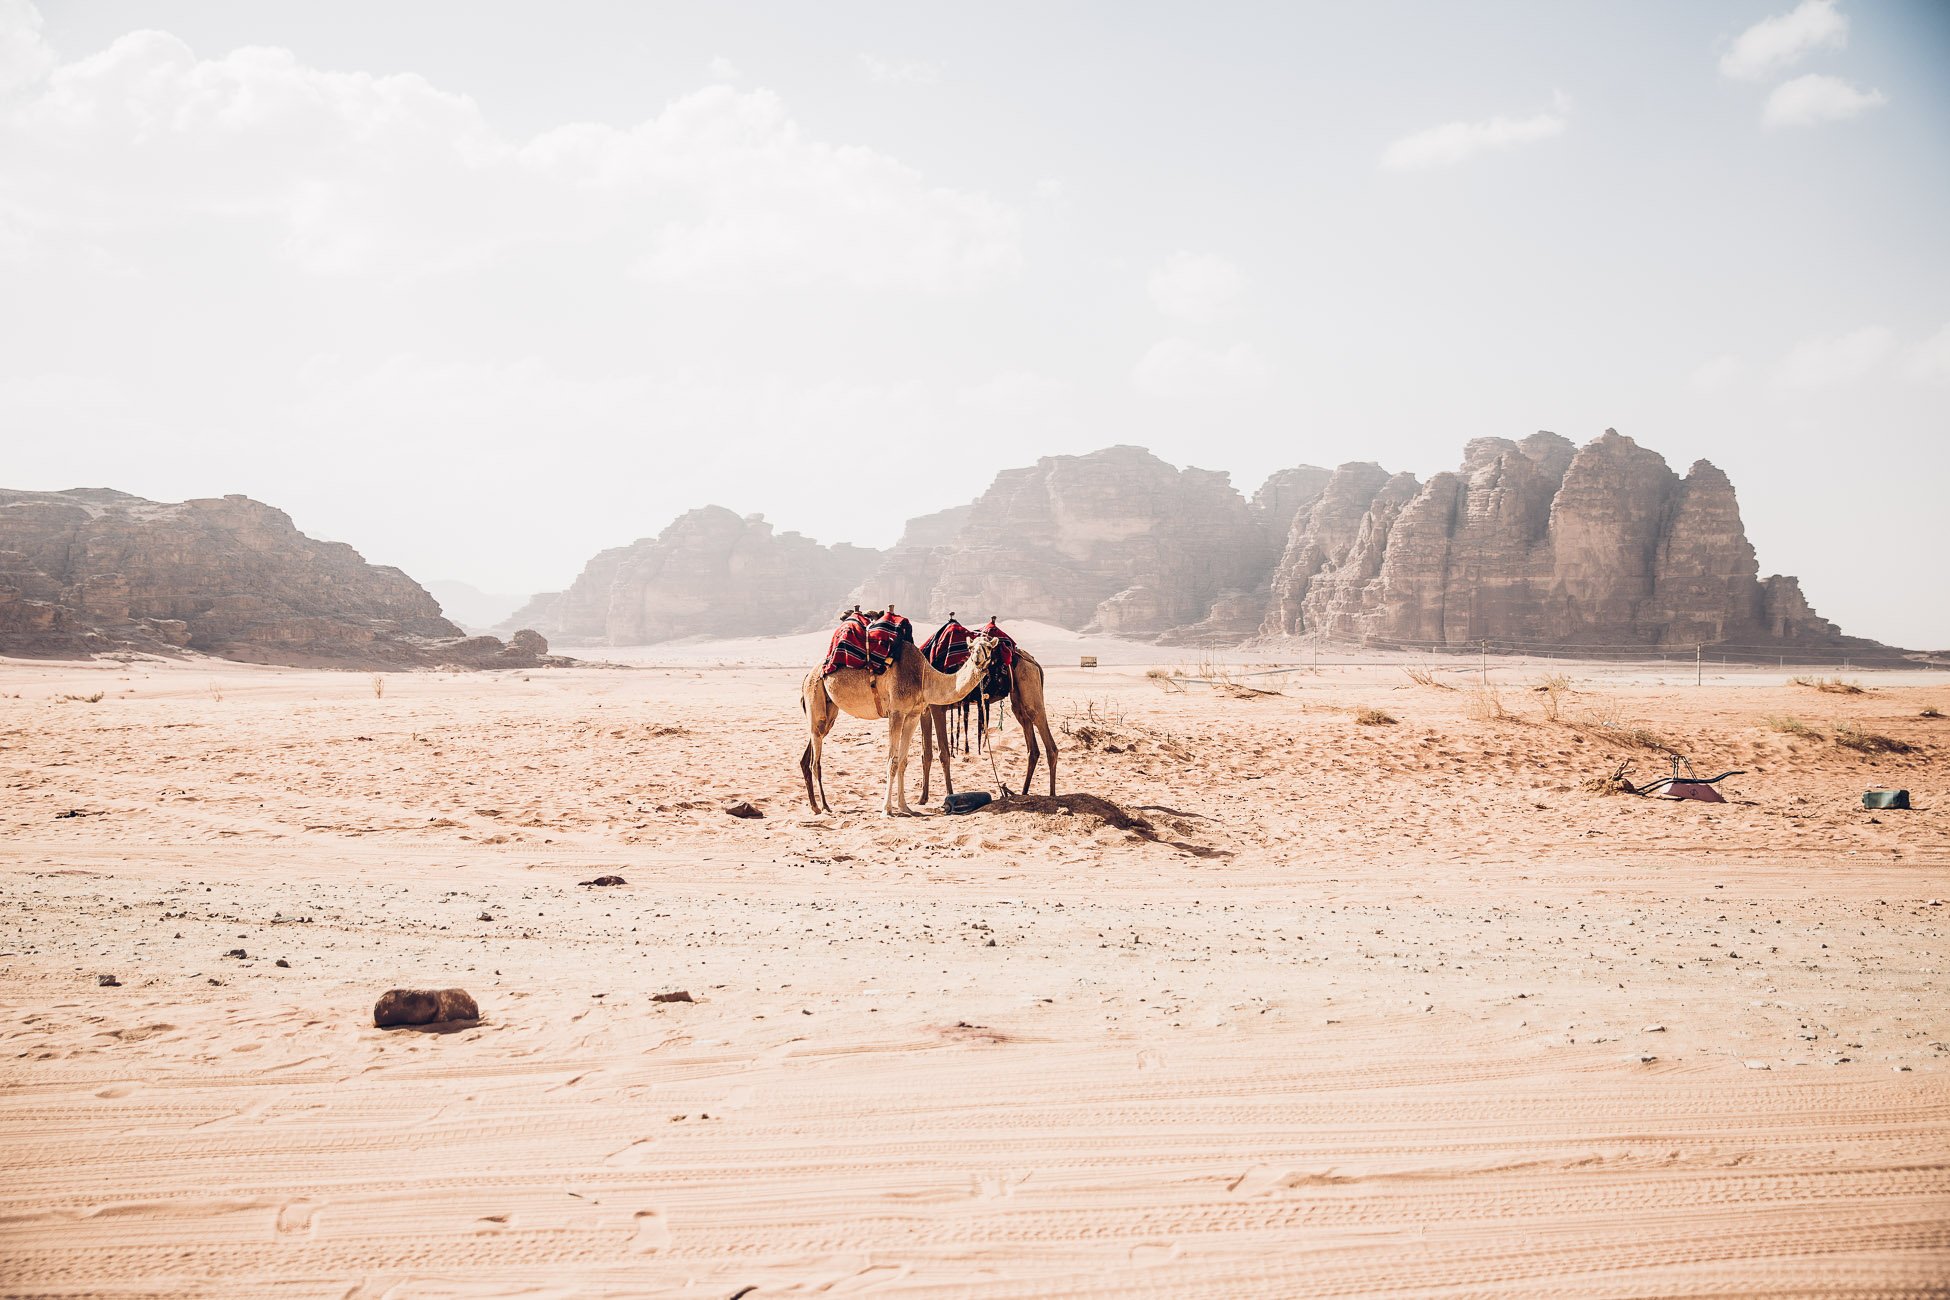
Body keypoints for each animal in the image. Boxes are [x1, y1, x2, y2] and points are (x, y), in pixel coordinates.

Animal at [799, 627, 998, 814]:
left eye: (988, 647)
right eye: (971, 648)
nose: (977, 659)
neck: (924, 677)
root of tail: (808, 675)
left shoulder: (913, 715)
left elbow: (903, 761)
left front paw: (904, 807)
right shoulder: (896, 712)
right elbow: (892, 761)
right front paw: (886, 809)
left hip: (829, 710)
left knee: (812, 749)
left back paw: (815, 806)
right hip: (815, 695)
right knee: (815, 761)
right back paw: (825, 806)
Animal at [920, 647, 1060, 802]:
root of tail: (1034, 662)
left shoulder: (937, 707)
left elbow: (943, 753)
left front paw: (949, 795)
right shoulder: (924, 711)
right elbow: (926, 754)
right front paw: (922, 798)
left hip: (1030, 687)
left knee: (1048, 742)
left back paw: (1052, 795)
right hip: (1018, 702)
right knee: (1032, 747)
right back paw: (1023, 793)